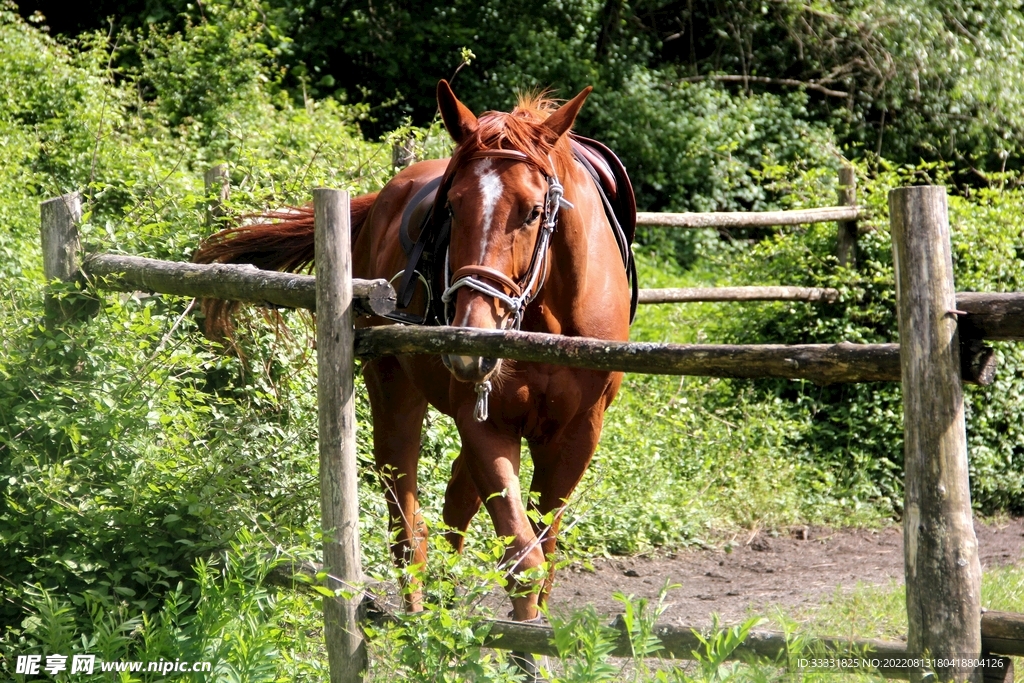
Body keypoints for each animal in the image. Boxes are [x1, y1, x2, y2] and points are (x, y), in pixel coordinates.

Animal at [194, 80, 634, 625]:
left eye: (534, 211)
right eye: (452, 207)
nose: (471, 342)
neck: (549, 320)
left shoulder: (577, 435)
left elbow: (542, 551)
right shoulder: (485, 423)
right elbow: (522, 555)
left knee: (455, 501)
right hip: (392, 390)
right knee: (408, 524)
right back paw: (418, 621)